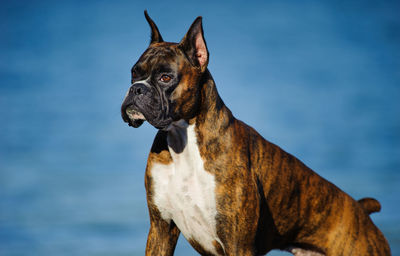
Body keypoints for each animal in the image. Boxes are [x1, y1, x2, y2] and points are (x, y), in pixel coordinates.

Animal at [119, 11, 390, 255]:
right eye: (133, 73)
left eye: (166, 77)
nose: (136, 89)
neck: (183, 140)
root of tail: (360, 210)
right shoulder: (161, 229)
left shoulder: (238, 243)